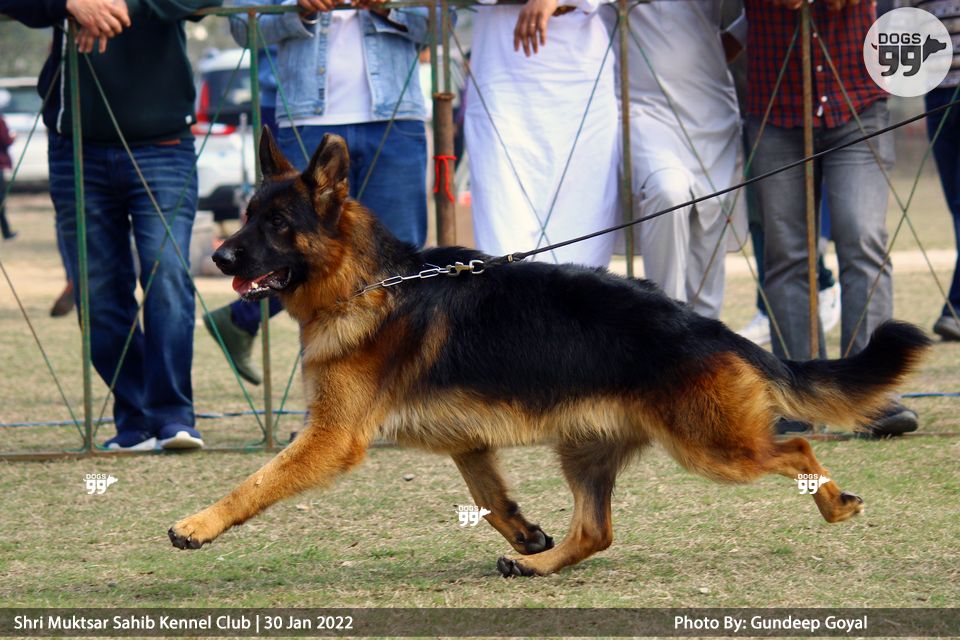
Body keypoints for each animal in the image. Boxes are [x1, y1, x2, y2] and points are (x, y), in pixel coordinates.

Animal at [169, 130, 931, 577]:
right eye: (246, 215)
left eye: (277, 224)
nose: (218, 257)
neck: (369, 282)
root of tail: (705, 327)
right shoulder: (467, 444)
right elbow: (490, 496)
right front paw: (525, 537)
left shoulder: (330, 439)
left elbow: (256, 483)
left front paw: (197, 525)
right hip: (585, 450)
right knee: (596, 532)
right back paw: (542, 564)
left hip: (712, 447)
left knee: (795, 448)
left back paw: (834, 504)